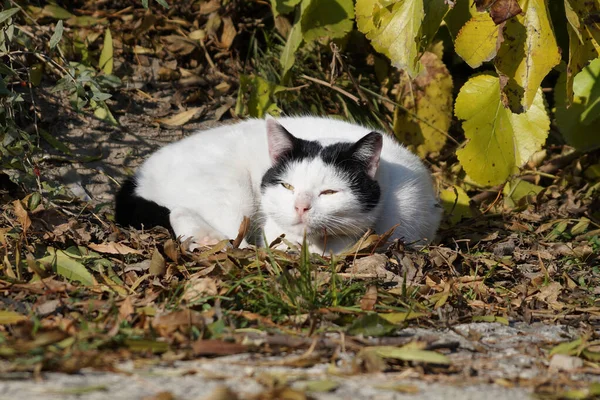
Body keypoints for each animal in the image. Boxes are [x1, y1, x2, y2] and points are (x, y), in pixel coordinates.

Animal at [115, 115, 440, 253]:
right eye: (288, 187)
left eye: (329, 192)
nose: (301, 207)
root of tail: (139, 175)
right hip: (232, 194)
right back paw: (209, 239)